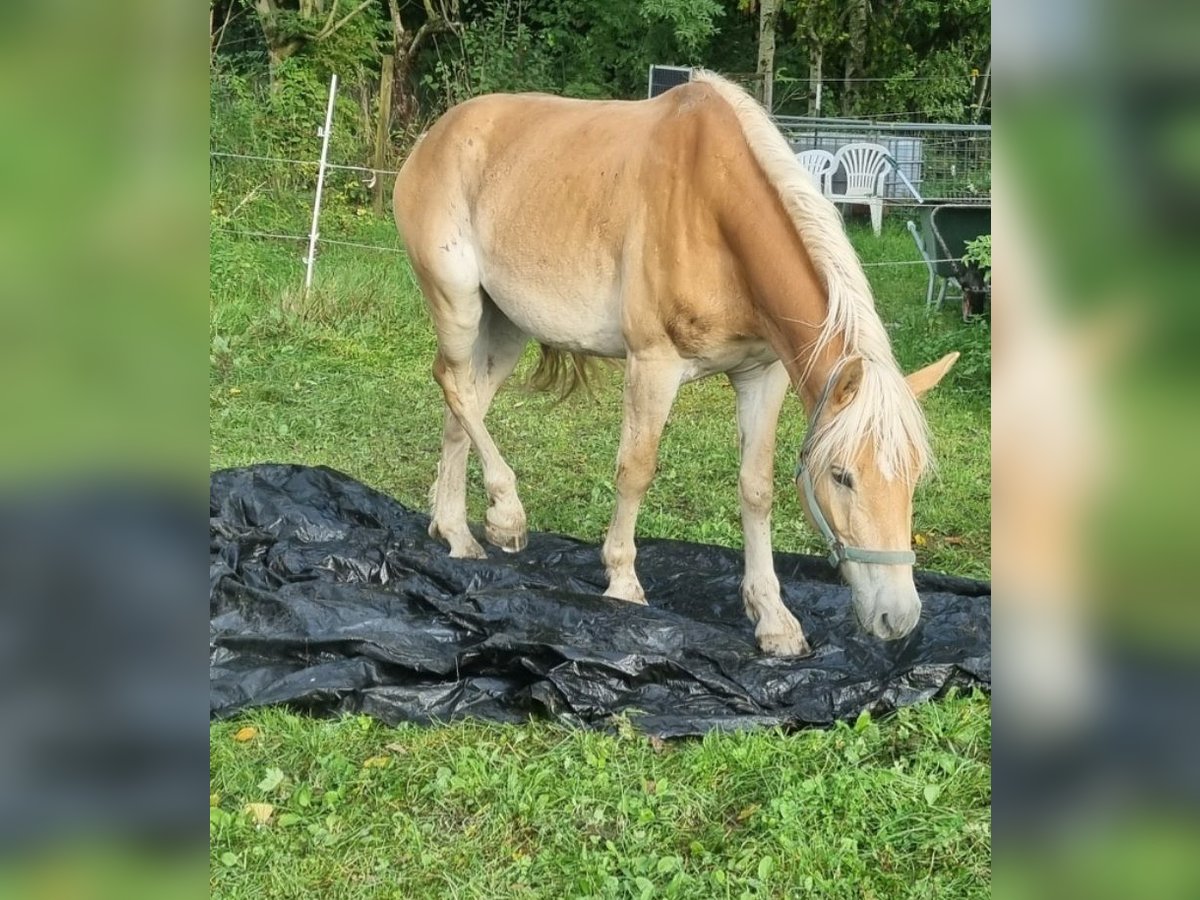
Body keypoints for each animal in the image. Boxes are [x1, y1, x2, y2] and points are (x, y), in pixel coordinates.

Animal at [393, 70, 958, 657]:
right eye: (841, 476)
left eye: (915, 476)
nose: (898, 617)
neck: (714, 207)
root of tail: (434, 136)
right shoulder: (653, 366)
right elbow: (635, 471)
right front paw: (622, 584)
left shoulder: (762, 375)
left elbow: (756, 489)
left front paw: (773, 618)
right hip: (458, 305)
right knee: (454, 385)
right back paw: (504, 516)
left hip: (506, 327)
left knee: (462, 409)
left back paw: (454, 531)